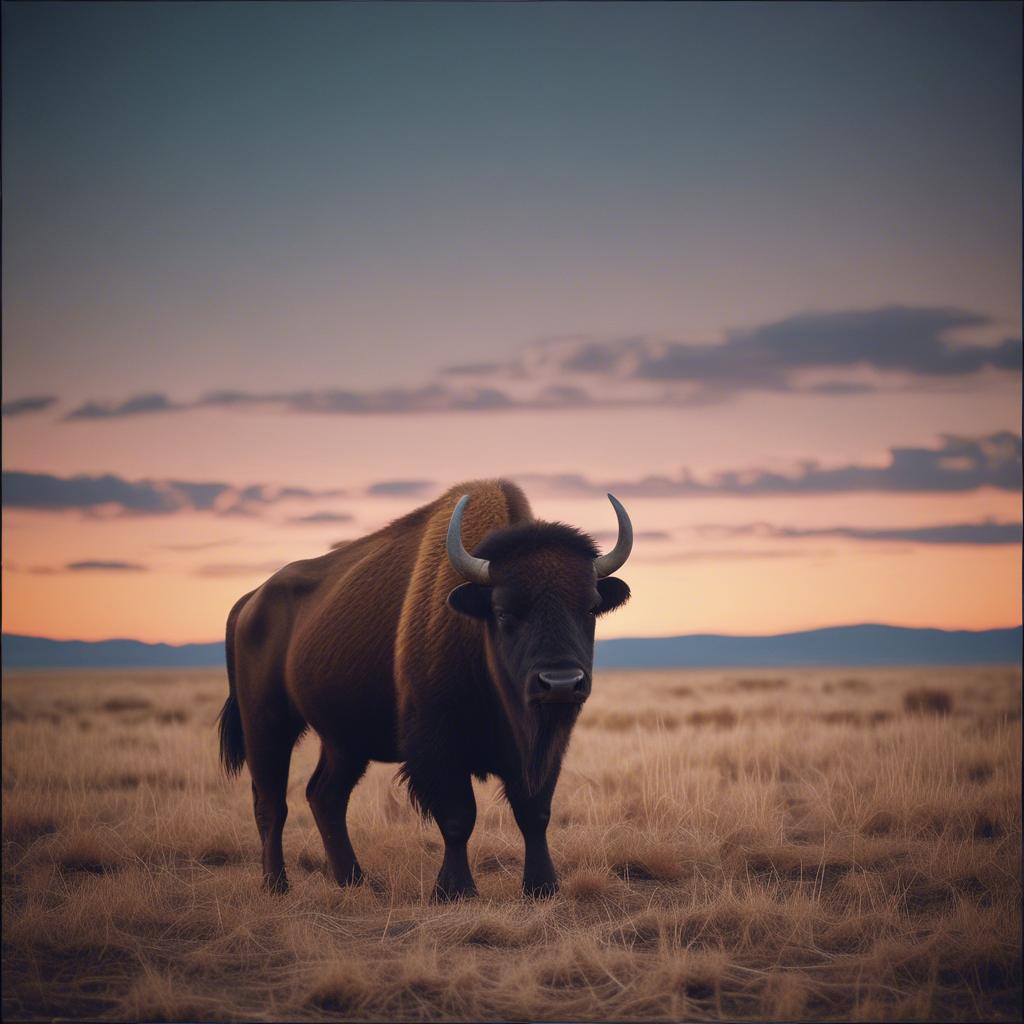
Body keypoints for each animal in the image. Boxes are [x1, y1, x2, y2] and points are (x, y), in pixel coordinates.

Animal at [218, 478, 632, 899]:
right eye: (503, 611)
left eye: (590, 607)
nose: (560, 683)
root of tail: (249, 603)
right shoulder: (437, 745)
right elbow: (459, 817)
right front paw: (456, 890)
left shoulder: (544, 748)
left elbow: (534, 812)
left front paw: (542, 886)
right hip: (267, 725)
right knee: (272, 803)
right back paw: (277, 885)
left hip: (344, 744)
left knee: (325, 797)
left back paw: (355, 880)